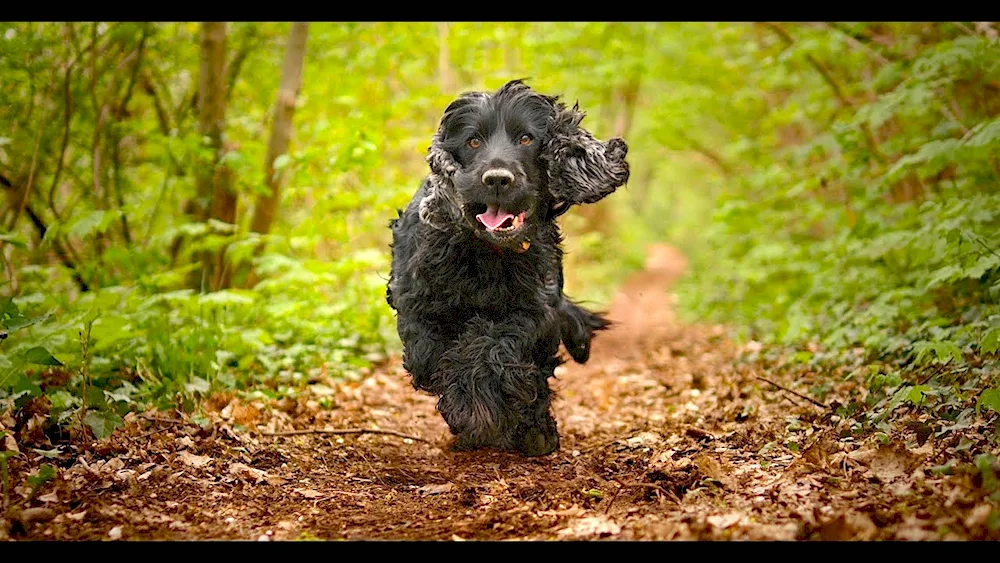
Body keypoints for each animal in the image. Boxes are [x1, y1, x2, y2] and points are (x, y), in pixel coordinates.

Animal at [386, 80, 628, 458]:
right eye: (472, 141)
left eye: (527, 138)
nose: (497, 179)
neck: (488, 253)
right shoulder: (418, 307)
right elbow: (430, 355)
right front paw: (470, 409)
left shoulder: (535, 310)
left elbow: (495, 345)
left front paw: (484, 403)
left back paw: (535, 432)